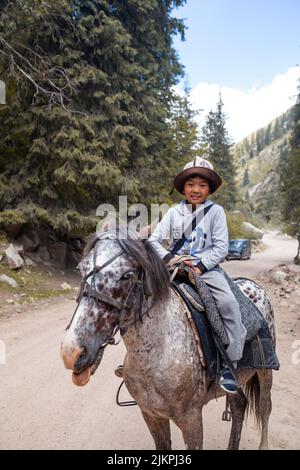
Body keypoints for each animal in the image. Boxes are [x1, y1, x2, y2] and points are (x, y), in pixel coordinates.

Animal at [61, 231, 276, 452]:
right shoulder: (151, 415)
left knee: (265, 406)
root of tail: (254, 286)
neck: (157, 352)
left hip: (265, 371)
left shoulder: (192, 419)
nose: (71, 353)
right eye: (81, 269)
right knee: (239, 404)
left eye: (127, 275)